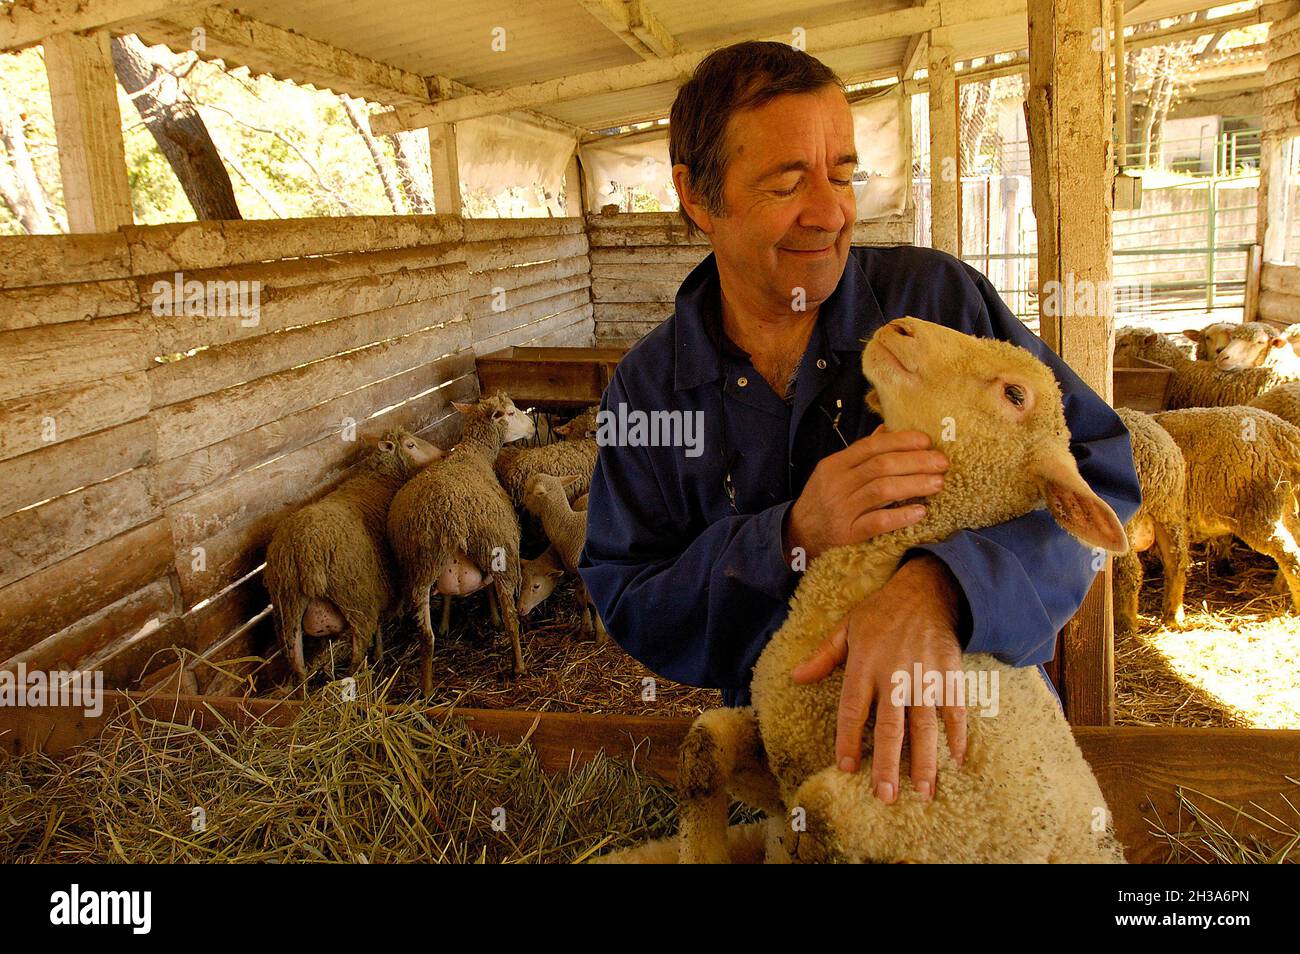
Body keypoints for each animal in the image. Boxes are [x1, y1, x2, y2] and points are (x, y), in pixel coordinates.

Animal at [384, 392, 533, 691]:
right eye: (511, 412)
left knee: (426, 637)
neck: (473, 455)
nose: (533, 426)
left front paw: (445, 622)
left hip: (419, 568)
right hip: (498, 551)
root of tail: (449, 516)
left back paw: (427, 687)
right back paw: (519, 666)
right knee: (512, 618)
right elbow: (489, 592)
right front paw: (493, 617)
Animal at [520, 473, 605, 642]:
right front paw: (584, 631)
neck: (567, 525)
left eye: (528, 492)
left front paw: (600, 637)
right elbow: (580, 598)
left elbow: (593, 601)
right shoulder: (577, 573)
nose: (522, 504)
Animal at [1107, 408, 1190, 634]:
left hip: (1125, 519)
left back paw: (1126, 623)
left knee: (1128, 570)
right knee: (1177, 560)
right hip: (1168, 508)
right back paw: (1173, 615)